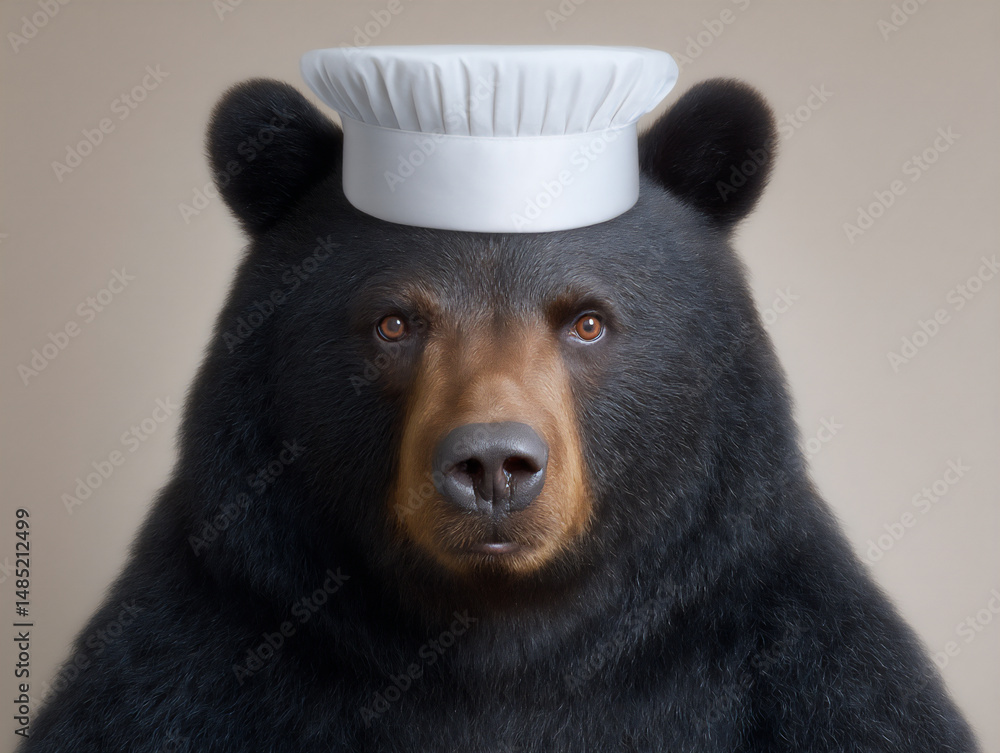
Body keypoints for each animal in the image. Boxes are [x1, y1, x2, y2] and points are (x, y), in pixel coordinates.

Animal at [18, 77, 979, 752]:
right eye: (394, 321)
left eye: (588, 320)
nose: (491, 465)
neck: (503, 644)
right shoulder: (197, 652)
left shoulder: (801, 667)